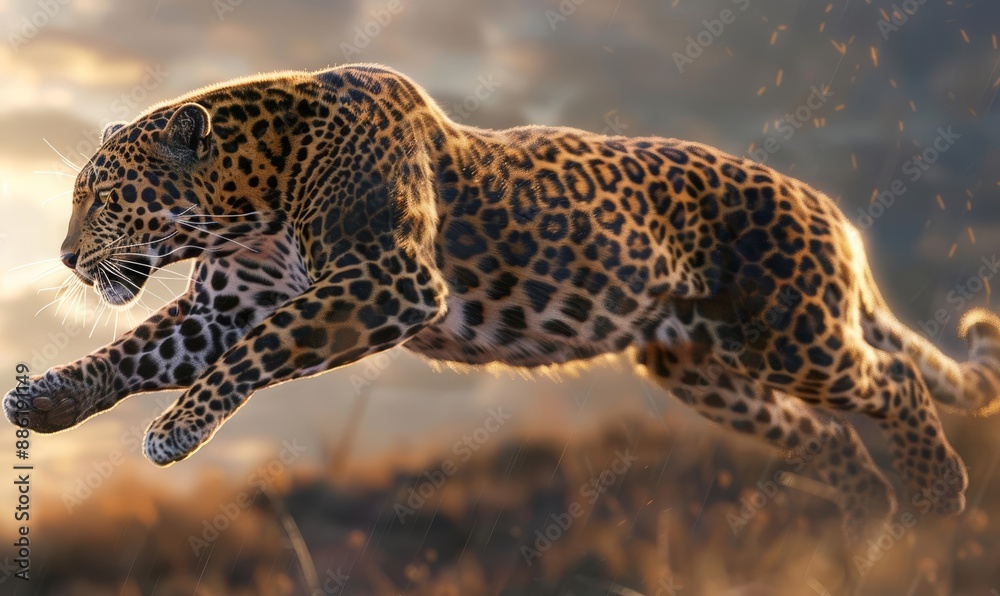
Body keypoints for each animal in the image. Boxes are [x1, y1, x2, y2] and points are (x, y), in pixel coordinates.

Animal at [5, 64, 1000, 542]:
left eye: (103, 197)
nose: (63, 256)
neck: (247, 199)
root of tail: (830, 207)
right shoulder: (228, 302)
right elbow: (133, 351)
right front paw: (45, 399)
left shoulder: (388, 282)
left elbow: (258, 353)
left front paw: (175, 431)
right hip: (700, 370)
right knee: (830, 437)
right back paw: (870, 526)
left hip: (791, 333)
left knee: (895, 385)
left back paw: (937, 498)